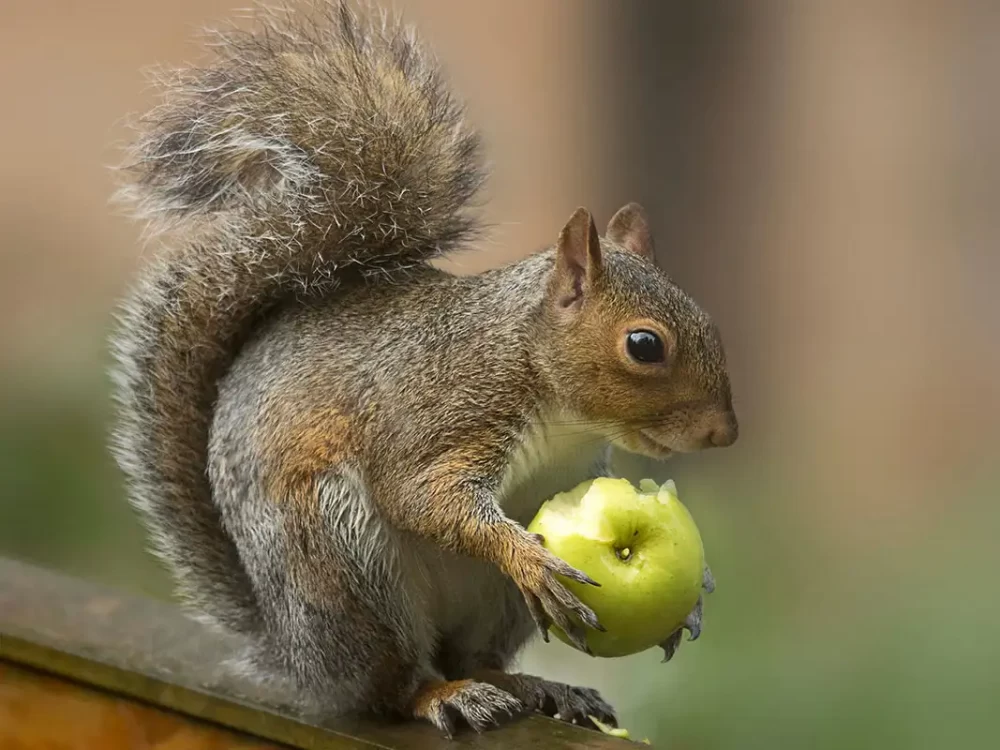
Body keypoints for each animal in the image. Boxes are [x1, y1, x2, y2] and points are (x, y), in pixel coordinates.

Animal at [109, 0, 740, 740]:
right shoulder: (445, 410)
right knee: (395, 684)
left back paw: (538, 686)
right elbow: (422, 496)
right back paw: (445, 695)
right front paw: (526, 555)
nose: (724, 434)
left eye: (710, 322)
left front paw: (696, 598)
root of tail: (297, 658)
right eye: (644, 345)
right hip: (342, 565)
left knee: (473, 656)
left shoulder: (576, 471)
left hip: (490, 604)